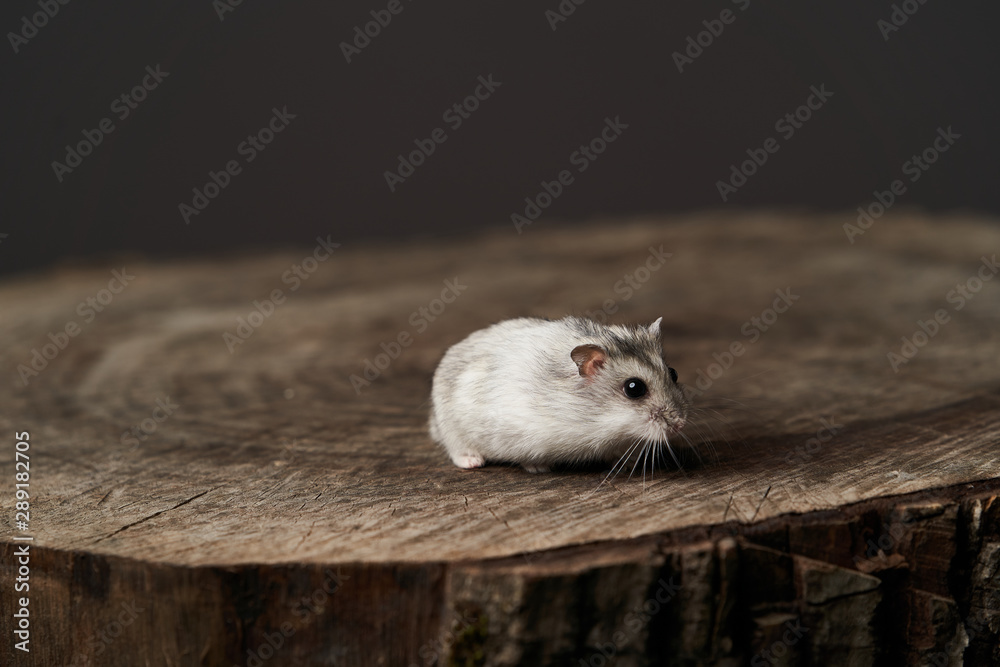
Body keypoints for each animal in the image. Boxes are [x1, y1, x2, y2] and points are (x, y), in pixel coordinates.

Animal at [429, 316, 689, 473]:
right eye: (634, 388)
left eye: (674, 373)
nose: (680, 424)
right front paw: (540, 468)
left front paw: (628, 459)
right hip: (453, 429)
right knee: (456, 450)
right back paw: (473, 462)